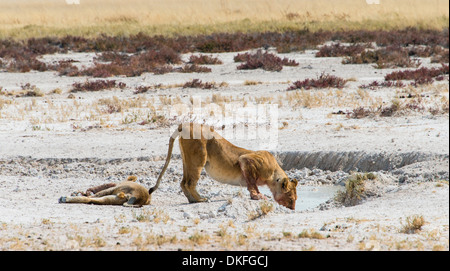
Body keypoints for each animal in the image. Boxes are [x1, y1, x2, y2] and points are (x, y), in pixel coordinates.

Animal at [149, 123, 298, 210]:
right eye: (291, 199)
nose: (292, 209)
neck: (274, 174)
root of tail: (186, 123)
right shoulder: (246, 160)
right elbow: (252, 183)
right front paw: (257, 196)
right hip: (198, 159)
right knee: (190, 183)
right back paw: (201, 199)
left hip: (187, 160)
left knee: (183, 182)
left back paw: (192, 200)